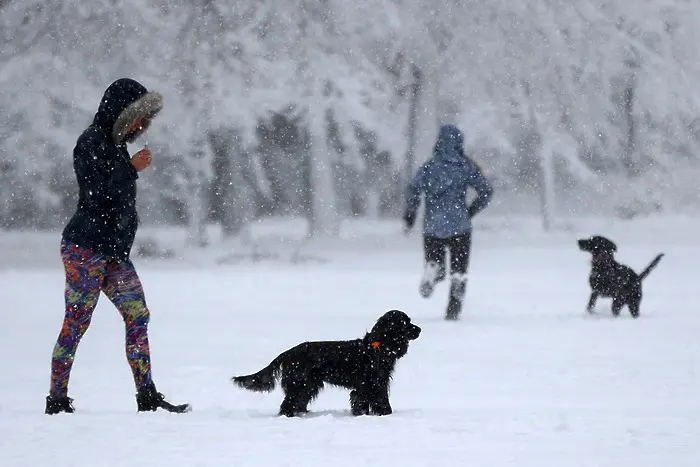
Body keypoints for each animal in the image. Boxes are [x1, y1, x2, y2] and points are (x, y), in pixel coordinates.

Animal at [231, 310, 422, 416]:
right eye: (405, 323)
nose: (419, 329)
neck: (379, 346)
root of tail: (288, 353)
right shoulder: (372, 383)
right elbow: (376, 401)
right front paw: (384, 414)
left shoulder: (372, 384)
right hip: (302, 382)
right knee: (288, 403)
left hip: (309, 385)